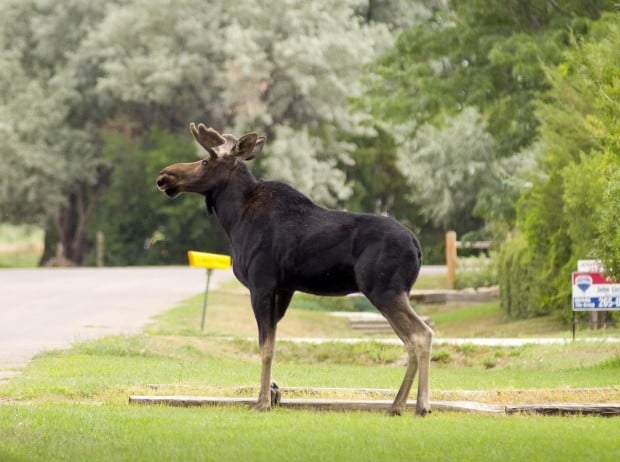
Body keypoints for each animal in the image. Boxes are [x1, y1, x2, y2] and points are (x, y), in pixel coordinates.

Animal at [157, 123, 434, 416]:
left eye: (205, 161)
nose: (164, 176)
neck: (233, 219)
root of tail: (417, 246)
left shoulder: (261, 284)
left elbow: (266, 346)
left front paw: (263, 402)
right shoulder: (285, 288)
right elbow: (272, 341)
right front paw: (269, 394)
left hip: (383, 289)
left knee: (421, 335)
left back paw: (420, 405)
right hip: (393, 292)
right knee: (411, 340)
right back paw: (399, 405)